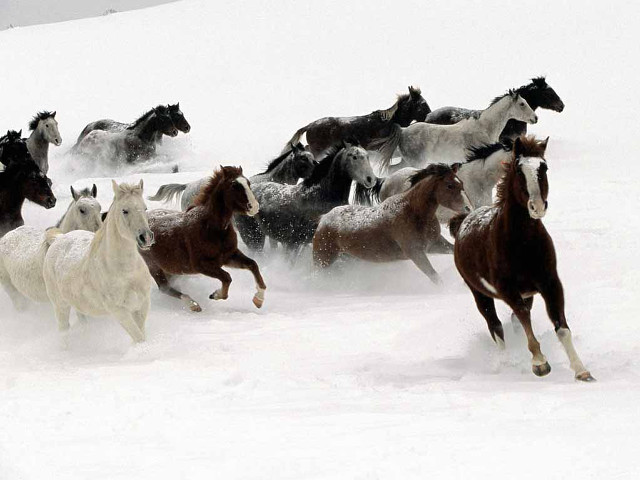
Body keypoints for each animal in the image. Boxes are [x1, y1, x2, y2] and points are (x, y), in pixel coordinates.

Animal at [43, 180, 154, 343]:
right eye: (125, 211)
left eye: (145, 208)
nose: (146, 237)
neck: (127, 272)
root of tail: (58, 238)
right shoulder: (119, 311)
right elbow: (139, 338)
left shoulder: (142, 304)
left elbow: (141, 335)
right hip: (60, 305)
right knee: (64, 331)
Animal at [139, 166, 266, 312]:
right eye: (234, 185)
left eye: (248, 183)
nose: (255, 207)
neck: (211, 228)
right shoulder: (201, 265)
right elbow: (227, 278)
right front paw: (216, 295)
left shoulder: (229, 256)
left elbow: (253, 264)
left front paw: (258, 299)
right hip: (154, 266)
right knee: (164, 288)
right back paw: (193, 305)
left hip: (171, 268)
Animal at [236, 142, 376, 253]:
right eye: (354, 157)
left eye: (367, 157)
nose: (371, 179)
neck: (319, 196)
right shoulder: (296, 243)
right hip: (253, 239)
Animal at [313, 164, 471, 284]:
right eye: (449, 185)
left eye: (462, 183)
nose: (468, 208)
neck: (413, 212)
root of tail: (324, 219)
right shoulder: (415, 253)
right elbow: (435, 277)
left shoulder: (434, 244)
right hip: (323, 260)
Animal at [449, 136, 594, 382]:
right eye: (518, 170)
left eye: (544, 167)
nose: (537, 207)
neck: (524, 244)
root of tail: (462, 222)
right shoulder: (507, 289)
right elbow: (523, 318)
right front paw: (540, 363)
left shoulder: (550, 283)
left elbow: (561, 327)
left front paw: (581, 371)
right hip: (479, 293)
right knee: (496, 326)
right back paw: (506, 362)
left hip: (528, 294)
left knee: (512, 323)